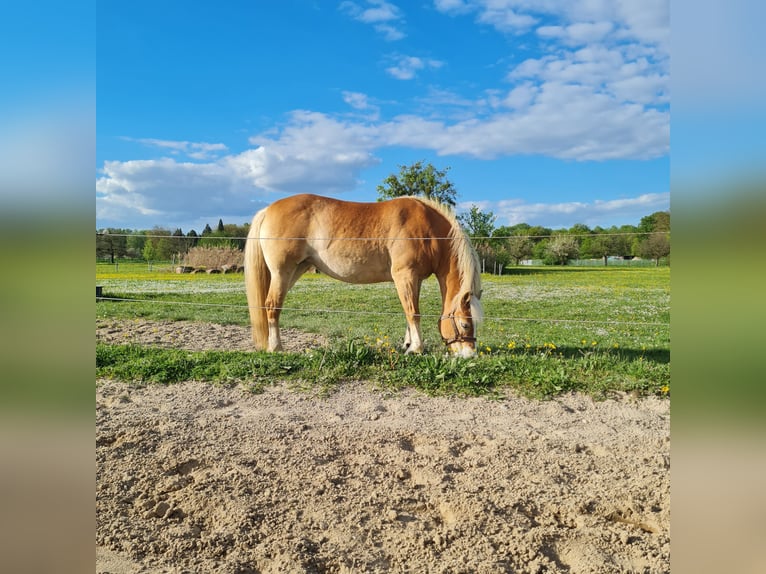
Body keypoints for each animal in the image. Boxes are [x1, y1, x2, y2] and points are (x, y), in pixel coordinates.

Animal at [244, 196, 486, 358]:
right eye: (465, 325)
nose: (470, 355)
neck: (427, 228)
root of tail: (268, 209)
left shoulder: (413, 279)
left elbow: (409, 312)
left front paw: (408, 345)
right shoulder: (405, 275)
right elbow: (413, 312)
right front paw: (416, 348)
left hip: (295, 271)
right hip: (282, 272)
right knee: (272, 306)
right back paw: (277, 347)